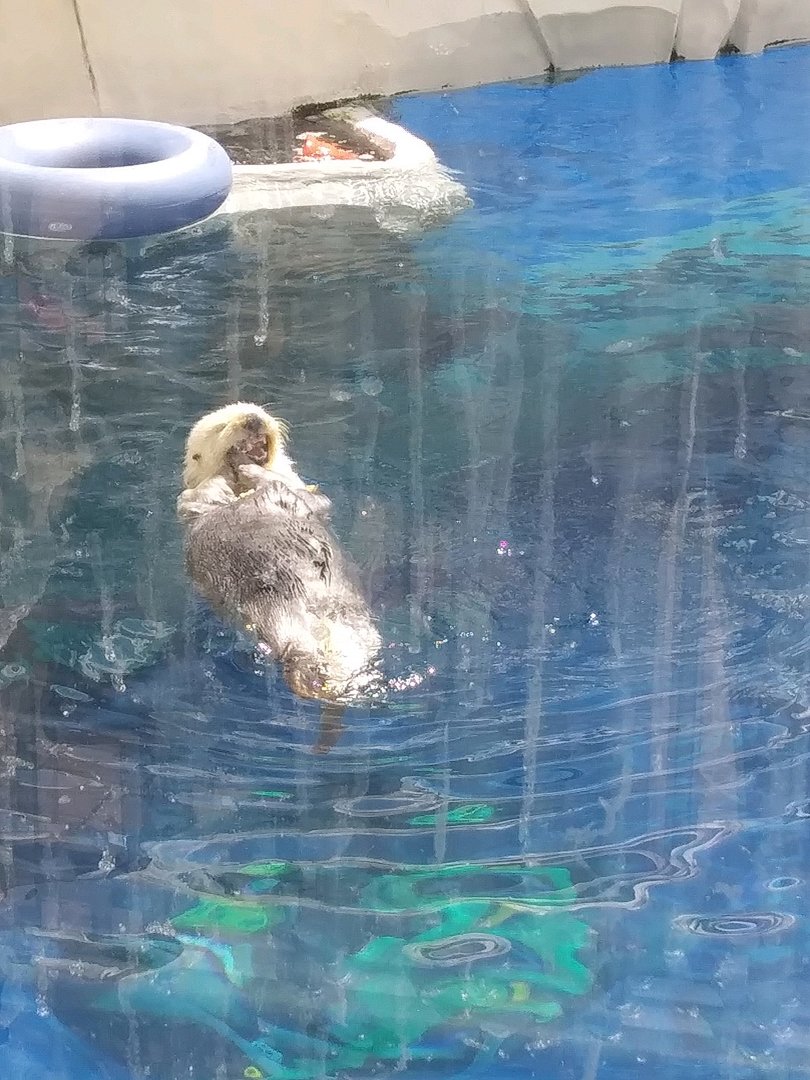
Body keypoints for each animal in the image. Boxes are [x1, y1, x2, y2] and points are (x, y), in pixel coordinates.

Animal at [177, 403, 382, 753]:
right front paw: (233, 470)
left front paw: (248, 469)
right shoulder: (193, 503)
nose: (252, 420)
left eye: (259, 410)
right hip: (277, 619)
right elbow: (203, 495)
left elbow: (300, 491)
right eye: (220, 427)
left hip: (356, 626)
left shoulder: (303, 488)